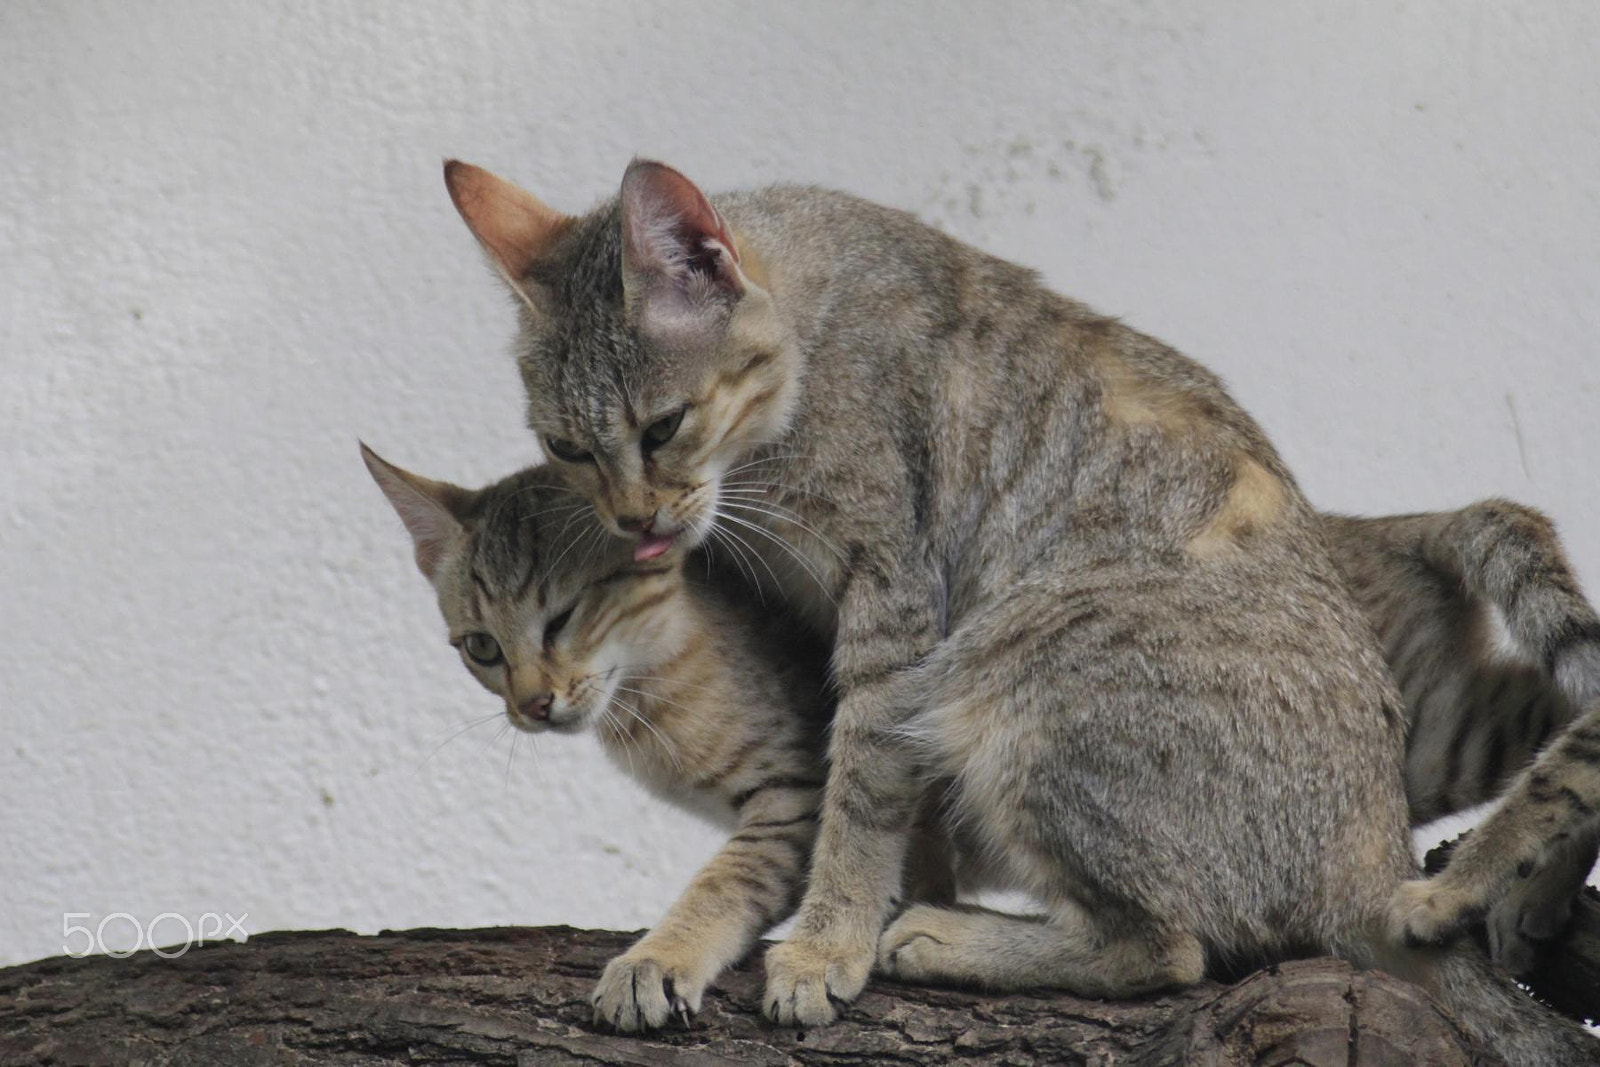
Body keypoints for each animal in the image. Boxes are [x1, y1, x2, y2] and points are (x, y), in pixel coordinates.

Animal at [361, 447, 832, 1030]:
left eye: (562, 619)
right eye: (482, 646)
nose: (533, 705)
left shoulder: (800, 787)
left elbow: (729, 880)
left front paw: (658, 958)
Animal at [438, 156, 1600, 1062]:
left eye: (664, 426)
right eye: (566, 447)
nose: (634, 518)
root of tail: (1371, 847)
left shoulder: (893, 604)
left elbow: (861, 785)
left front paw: (828, 937)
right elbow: (885, 801)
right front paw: (872, 901)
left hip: (1020, 669)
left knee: (1172, 947)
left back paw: (945, 937)